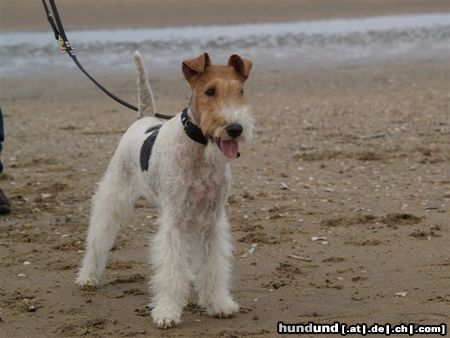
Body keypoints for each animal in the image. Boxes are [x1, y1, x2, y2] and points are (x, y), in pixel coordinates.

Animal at [75, 51, 255, 328]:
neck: (199, 149)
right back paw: (88, 277)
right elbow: (170, 267)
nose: (235, 129)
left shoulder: (212, 219)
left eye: (241, 91)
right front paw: (167, 312)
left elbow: (213, 265)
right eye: (210, 91)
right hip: (113, 194)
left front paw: (219, 304)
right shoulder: (175, 220)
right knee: (99, 235)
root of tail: (144, 118)